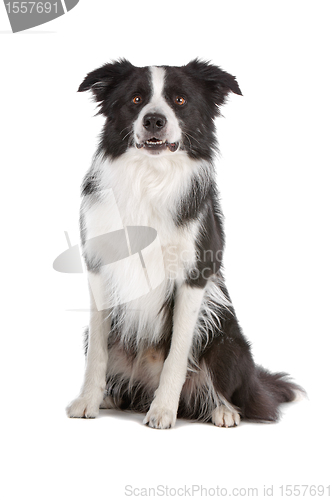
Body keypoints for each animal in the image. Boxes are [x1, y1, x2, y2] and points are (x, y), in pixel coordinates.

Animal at [66, 57, 300, 426]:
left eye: (180, 100)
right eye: (136, 99)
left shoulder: (194, 275)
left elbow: (177, 354)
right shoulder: (99, 269)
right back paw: (113, 396)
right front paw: (88, 400)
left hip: (228, 340)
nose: (154, 120)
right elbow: (98, 355)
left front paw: (163, 410)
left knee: (232, 392)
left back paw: (222, 410)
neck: (150, 177)